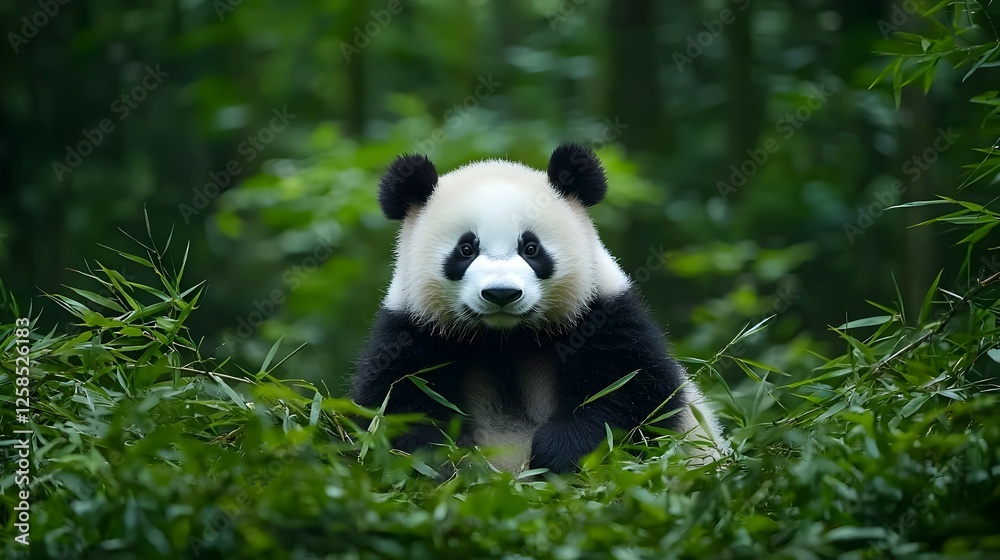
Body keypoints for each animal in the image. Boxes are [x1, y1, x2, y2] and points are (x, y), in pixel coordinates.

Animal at [352, 144, 721, 474]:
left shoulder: (603, 313)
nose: (501, 293)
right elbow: (396, 409)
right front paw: (448, 461)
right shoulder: (412, 330)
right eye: (466, 249)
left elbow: (631, 395)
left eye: (531, 248)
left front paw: (559, 454)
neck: (505, 338)